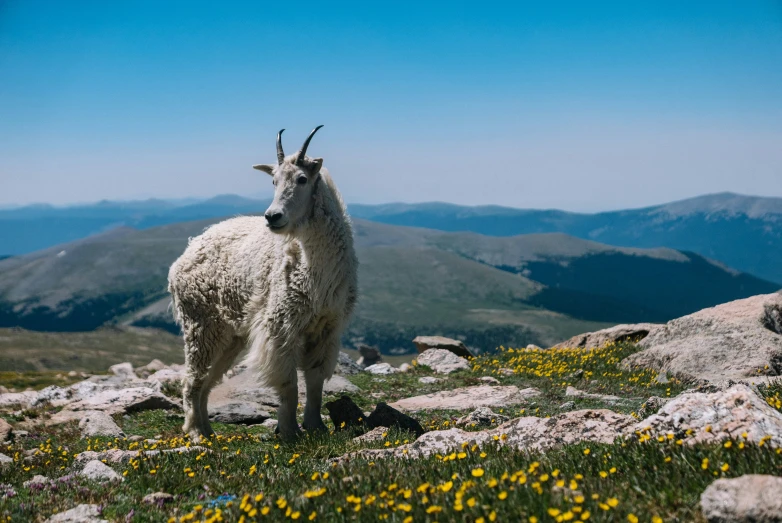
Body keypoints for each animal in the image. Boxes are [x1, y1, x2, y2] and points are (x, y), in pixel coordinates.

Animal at [170, 128, 360, 442]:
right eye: (273, 180)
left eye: (302, 179)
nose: (273, 217)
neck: (315, 269)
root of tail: (186, 252)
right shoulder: (281, 324)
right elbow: (288, 383)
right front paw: (289, 431)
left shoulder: (327, 327)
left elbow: (315, 381)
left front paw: (316, 427)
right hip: (201, 324)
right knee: (192, 379)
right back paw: (196, 432)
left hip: (230, 336)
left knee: (208, 380)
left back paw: (209, 432)